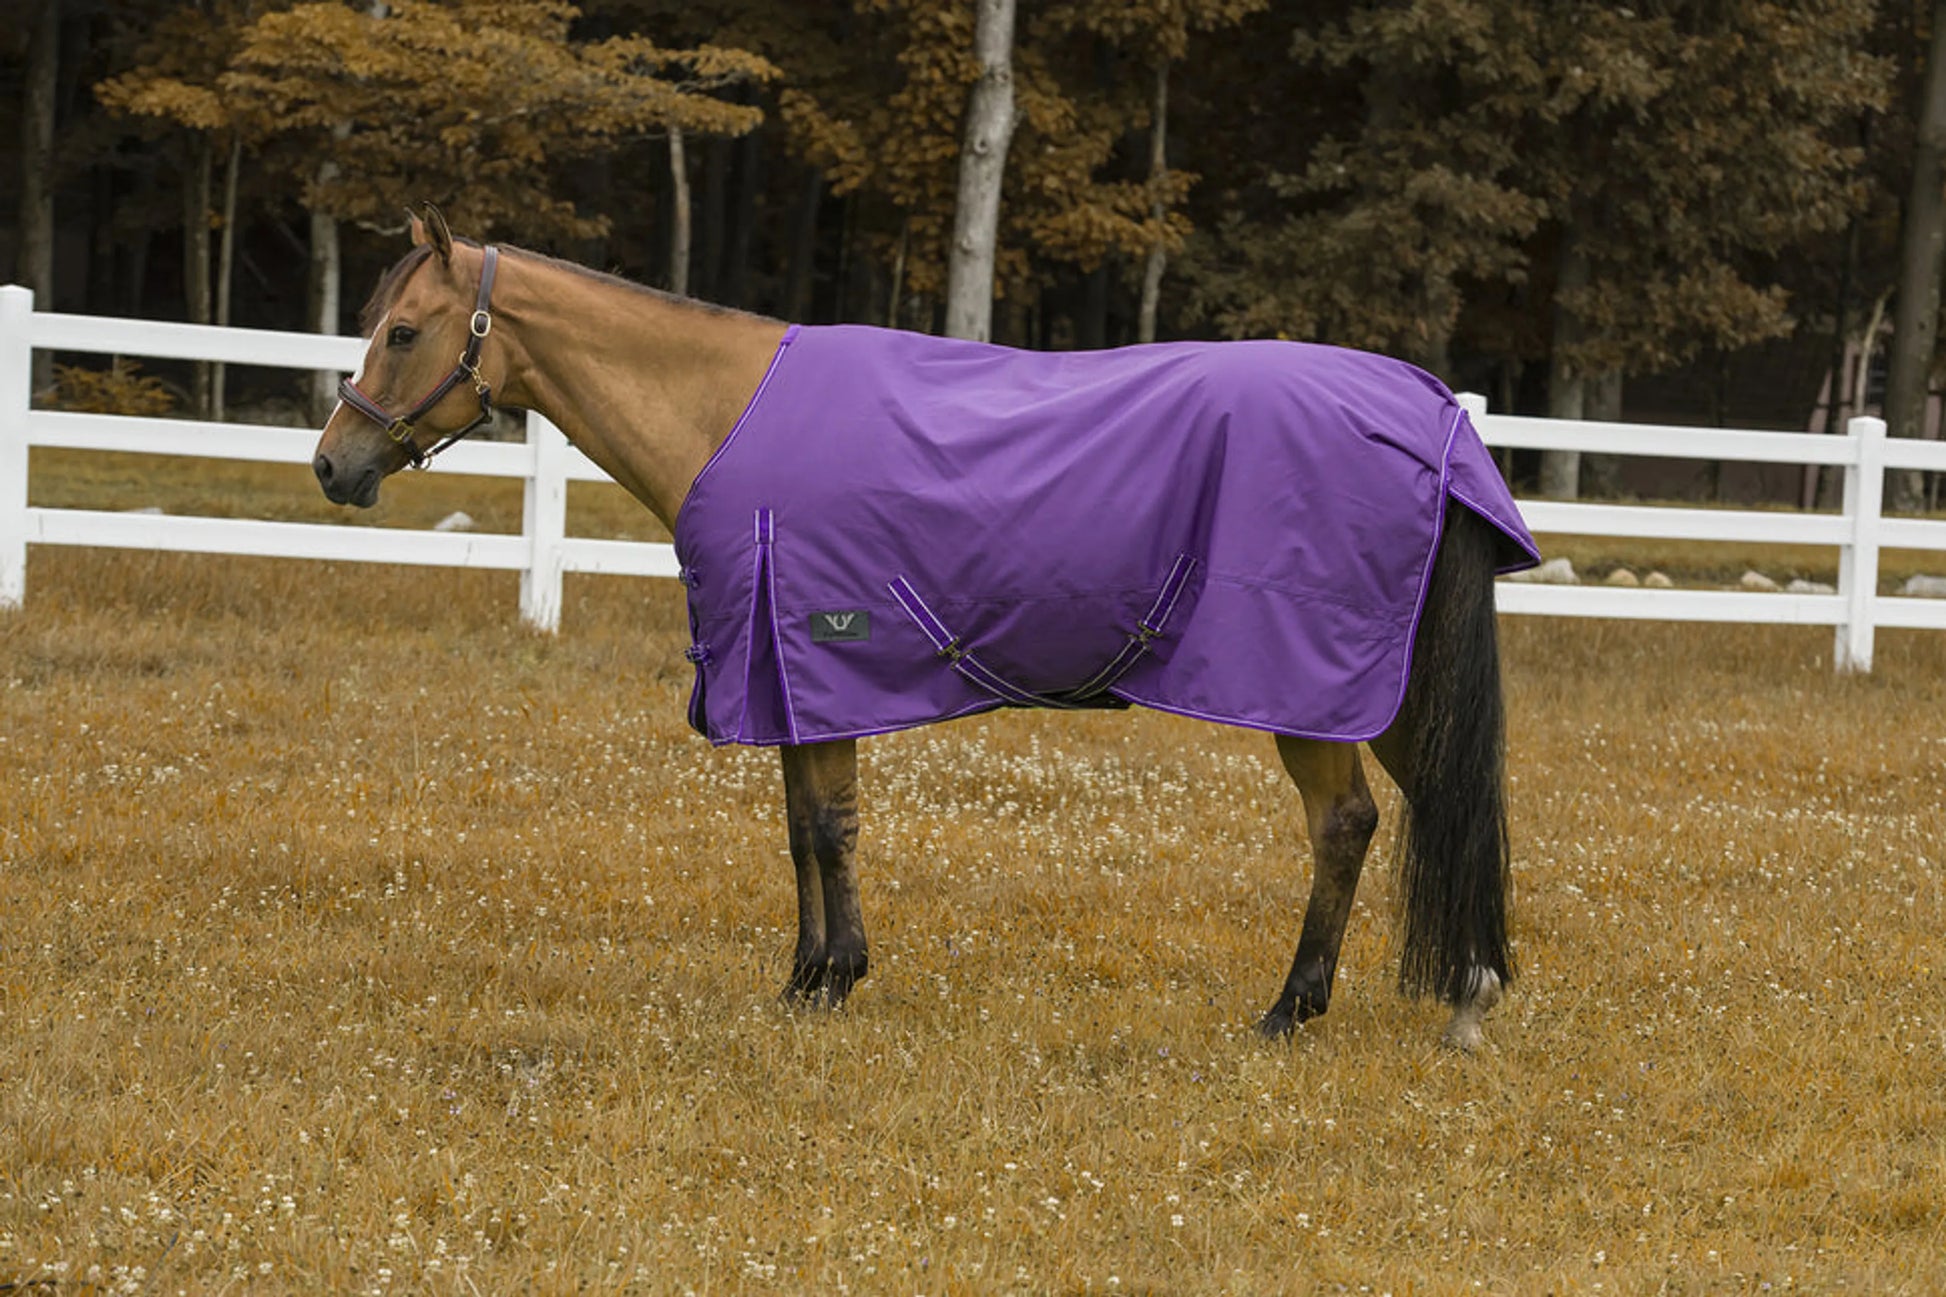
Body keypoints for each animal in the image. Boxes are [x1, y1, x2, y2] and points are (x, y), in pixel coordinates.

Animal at [312, 207, 1539, 1050]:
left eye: (403, 332)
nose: (332, 465)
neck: (727, 413)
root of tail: (1428, 412)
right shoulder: (788, 677)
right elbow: (803, 827)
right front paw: (809, 975)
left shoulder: (810, 653)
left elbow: (827, 827)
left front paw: (830, 979)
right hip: (1390, 687)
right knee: (1440, 803)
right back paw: (1467, 995)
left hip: (1310, 691)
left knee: (1345, 826)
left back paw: (1291, 1008)